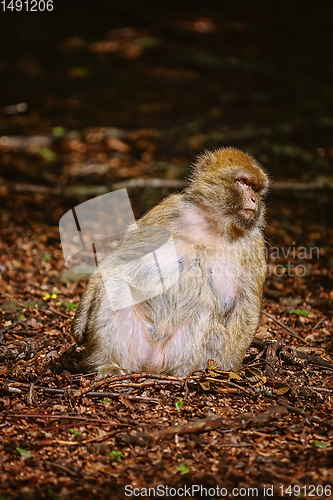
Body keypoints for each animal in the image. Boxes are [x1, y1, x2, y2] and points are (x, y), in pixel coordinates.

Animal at [71, 146, 268, 376]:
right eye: (244, 182)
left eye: (257, 189)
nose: (254, 200)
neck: (214, 224)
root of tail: (152, 364)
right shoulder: (170, 210)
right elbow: (122, 258)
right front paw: (80, 319)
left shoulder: (253, 243)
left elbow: (246, 302)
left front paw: (229, 369)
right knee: (116, 286)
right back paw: (106, 363)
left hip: (182, 355)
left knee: (204, 312)